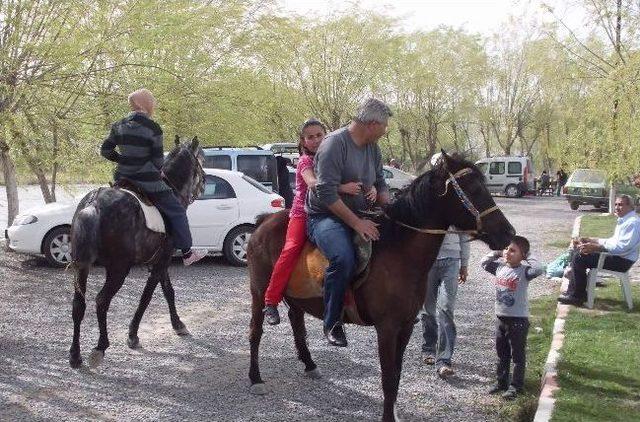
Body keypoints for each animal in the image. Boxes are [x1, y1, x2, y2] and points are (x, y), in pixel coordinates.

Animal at [68, 137, 204, 368]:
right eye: (199, 161)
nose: (204, 184)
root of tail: (93, 205)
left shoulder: (160, 260)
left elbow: (168, 291)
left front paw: (178, 324)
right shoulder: (162, 261)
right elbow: (146, 297)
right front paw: (132, 335)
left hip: (82, 265)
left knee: (79, 304)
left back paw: (75, 355)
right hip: (118, 268)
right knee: (102, 300)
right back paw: (100, 347)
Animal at [245, 152, 516, 422]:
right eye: (474, 189)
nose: (508, 233)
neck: (398, 250)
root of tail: (264, 221)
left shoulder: (406, 326)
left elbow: (396, 376)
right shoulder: (386, 328)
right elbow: (387, 378)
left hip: (296, 298)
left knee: (297, 323)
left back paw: (309, 364)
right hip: (258, 293)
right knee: (255, 332)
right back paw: (255, 378)